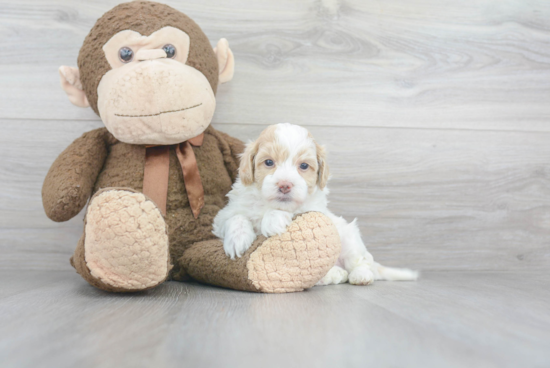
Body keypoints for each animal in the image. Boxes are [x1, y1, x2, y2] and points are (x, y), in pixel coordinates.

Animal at [213, 123, 420, 284]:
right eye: (269, 162)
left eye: (304, 166)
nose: (285, 185)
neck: (268, 204)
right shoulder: (224, 214)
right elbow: (235, 217)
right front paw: (237, 240)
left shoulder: (314, 210)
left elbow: (294, 211)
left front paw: (273, 220)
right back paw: (335, 274)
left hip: (349, 237)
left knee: (361, 261)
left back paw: (360, 275)